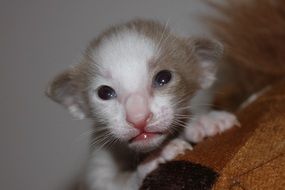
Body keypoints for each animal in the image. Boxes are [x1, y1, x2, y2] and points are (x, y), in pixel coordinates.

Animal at [46, 19, 237, 190]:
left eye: (163, 78)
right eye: (104, 93)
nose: (138, 118)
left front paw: (202, 121)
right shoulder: (97, 162)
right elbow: (110, 184)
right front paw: (155, 158)